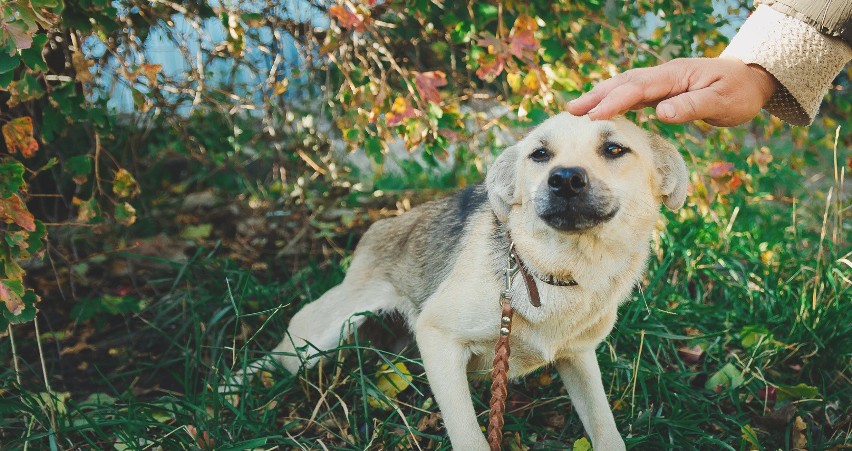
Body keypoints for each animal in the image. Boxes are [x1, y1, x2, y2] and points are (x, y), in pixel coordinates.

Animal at [272, 112, 692, 448]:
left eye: (614, 149)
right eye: (540, 154)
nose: (565, 179)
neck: (555, 273)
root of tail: (377, 227)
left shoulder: (579, 357)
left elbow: (606, 430)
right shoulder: (437, 338)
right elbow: (469, 436)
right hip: (315, 341)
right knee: (279, 358)